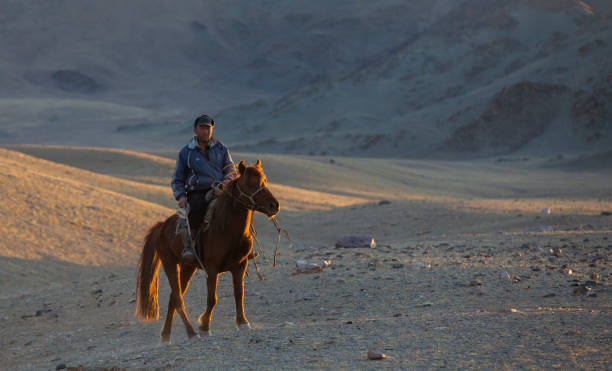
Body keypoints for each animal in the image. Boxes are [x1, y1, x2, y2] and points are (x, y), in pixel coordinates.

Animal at [136, 160, 280, 342]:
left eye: (265, 181)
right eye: (250, 183)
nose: (274, 205)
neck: (227, 230)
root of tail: (162, 226)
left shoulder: (240, 266)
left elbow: (239, 294)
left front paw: (243, 323)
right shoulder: (212, 269)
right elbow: (212, 299)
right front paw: (204, 326)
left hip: (187, 267)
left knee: (173, 299)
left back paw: (166, 335)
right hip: (170, 264)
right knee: (178, 299)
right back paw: (191, 332)